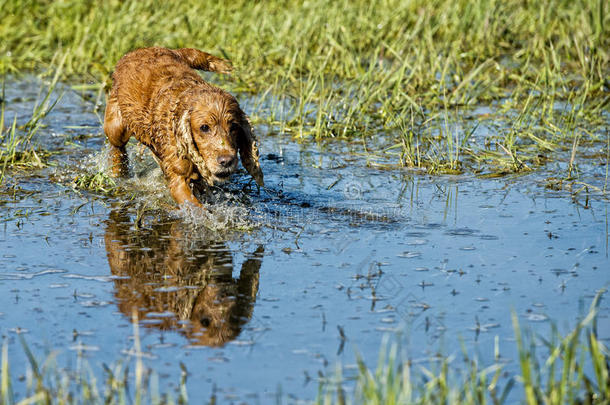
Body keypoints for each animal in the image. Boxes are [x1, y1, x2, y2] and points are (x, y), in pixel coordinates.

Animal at [102, 47, 264, 205]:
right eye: (204, 127)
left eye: (234, 127)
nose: (226, 161)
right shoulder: (180, 178)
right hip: (116, 128)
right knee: (118, 148)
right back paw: (119, 174)